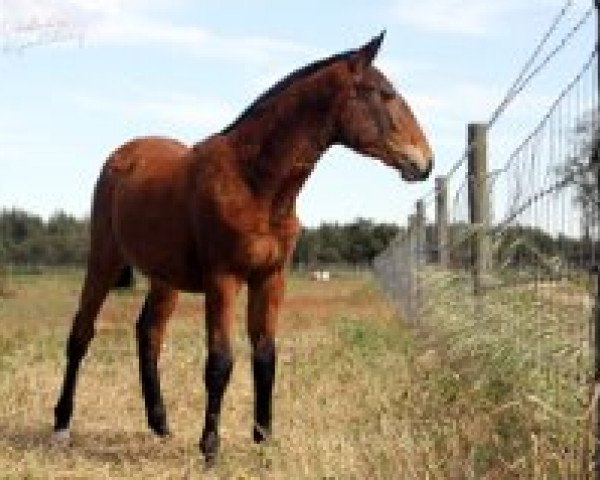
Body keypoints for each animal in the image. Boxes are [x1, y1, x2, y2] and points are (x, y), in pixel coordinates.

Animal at [52, 31, 432, 464]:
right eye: (384, 94)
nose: (425, 162)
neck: (254, 184)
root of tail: (121, 156)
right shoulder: (224, 279)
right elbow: (220, 362)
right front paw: (210, 448)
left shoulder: (271, 278)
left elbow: (265, 356)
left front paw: (265, 438)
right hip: (103, 259)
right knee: (81, 333)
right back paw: (61, 425)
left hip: (165, 278)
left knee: (149, 332)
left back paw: (160, 423)